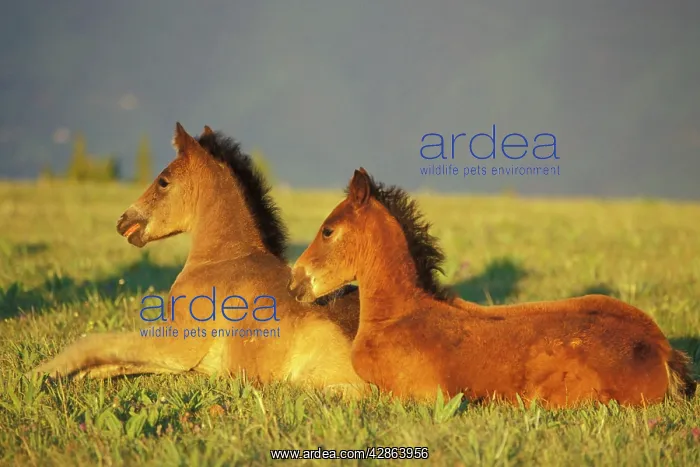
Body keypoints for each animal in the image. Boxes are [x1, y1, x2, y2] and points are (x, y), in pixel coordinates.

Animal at [28, 123, 368, 396]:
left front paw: (36, 375)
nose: (124, 221)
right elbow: (113, 361)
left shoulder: (177, 343)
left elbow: (96, 343)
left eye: (163, 180)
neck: (223, 260)